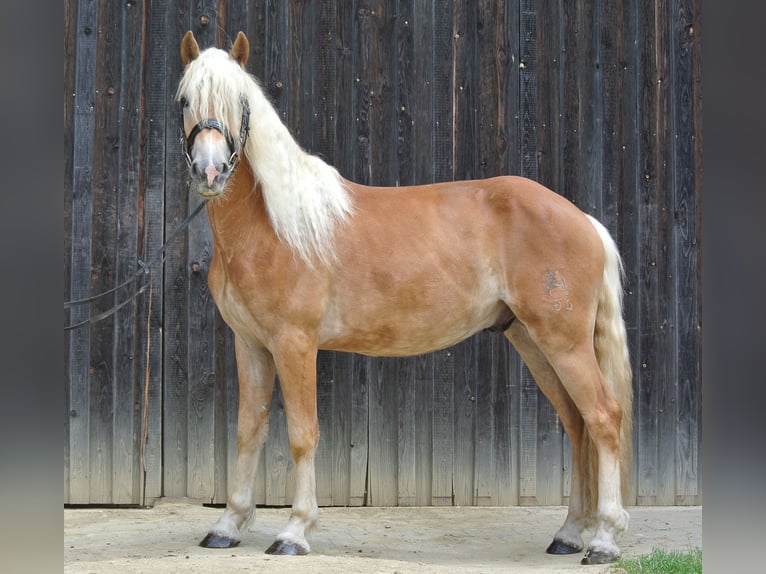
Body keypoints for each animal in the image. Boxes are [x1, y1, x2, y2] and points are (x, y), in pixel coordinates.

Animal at [176, 31, 636, 568]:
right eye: (185, 100)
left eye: (240, 103)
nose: (210, 172)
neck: (276, 225)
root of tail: (583, 219)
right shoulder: (250, 345)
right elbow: (249, 429)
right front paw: (228, 524)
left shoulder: (295, 345)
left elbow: (302, 435)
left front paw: (295, 531)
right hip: (534, 343)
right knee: (578, 423)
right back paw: (569, 533)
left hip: (564, 343)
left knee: (603, 419)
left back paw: (603, 540)